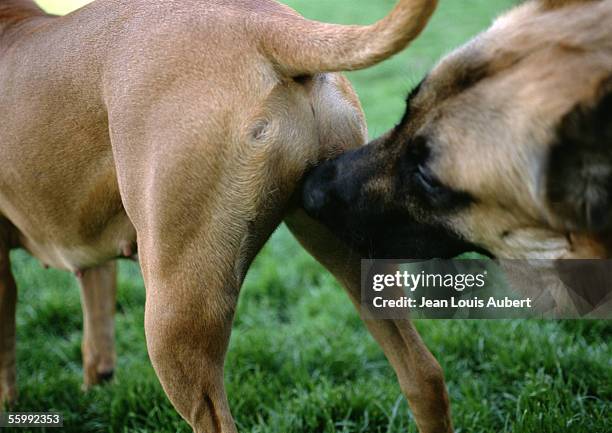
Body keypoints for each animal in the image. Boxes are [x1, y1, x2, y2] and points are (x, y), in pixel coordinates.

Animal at [0, 0, 464, 432]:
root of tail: (262, 22)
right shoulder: (89, 257)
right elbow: (96, 338)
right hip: (350, 248)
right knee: (423, 375)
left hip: (175, 310)